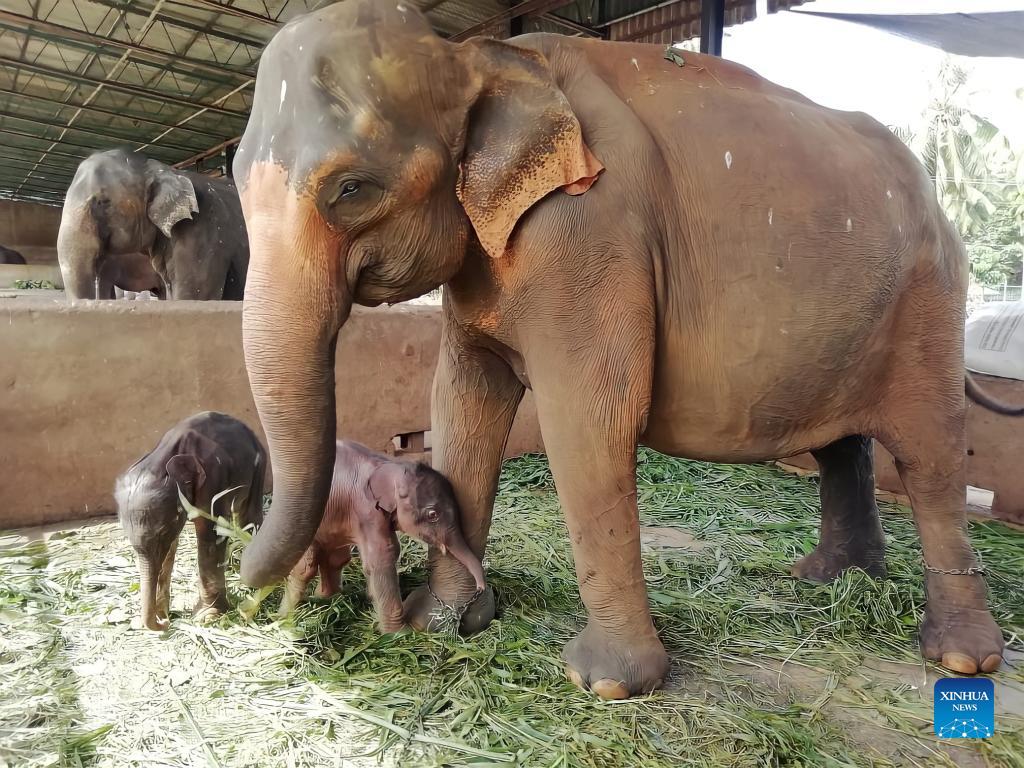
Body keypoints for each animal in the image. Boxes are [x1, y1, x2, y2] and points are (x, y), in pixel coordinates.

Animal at [115, 411, 266, 631]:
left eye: (162, 531)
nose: (164, 623)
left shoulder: (214, 478)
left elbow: (211, 535)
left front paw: (207, 617)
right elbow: (171, 548)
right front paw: (164, 613)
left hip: (259, 467)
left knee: (250, 517)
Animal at [277, 440, 485, 631]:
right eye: (433, 514)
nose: (480, 588)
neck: (392, 465)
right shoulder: (366, 511)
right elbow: (382, 558)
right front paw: (399, 634)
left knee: (335, 558)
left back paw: (327, 598)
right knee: (306, 567)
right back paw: (284, 617)